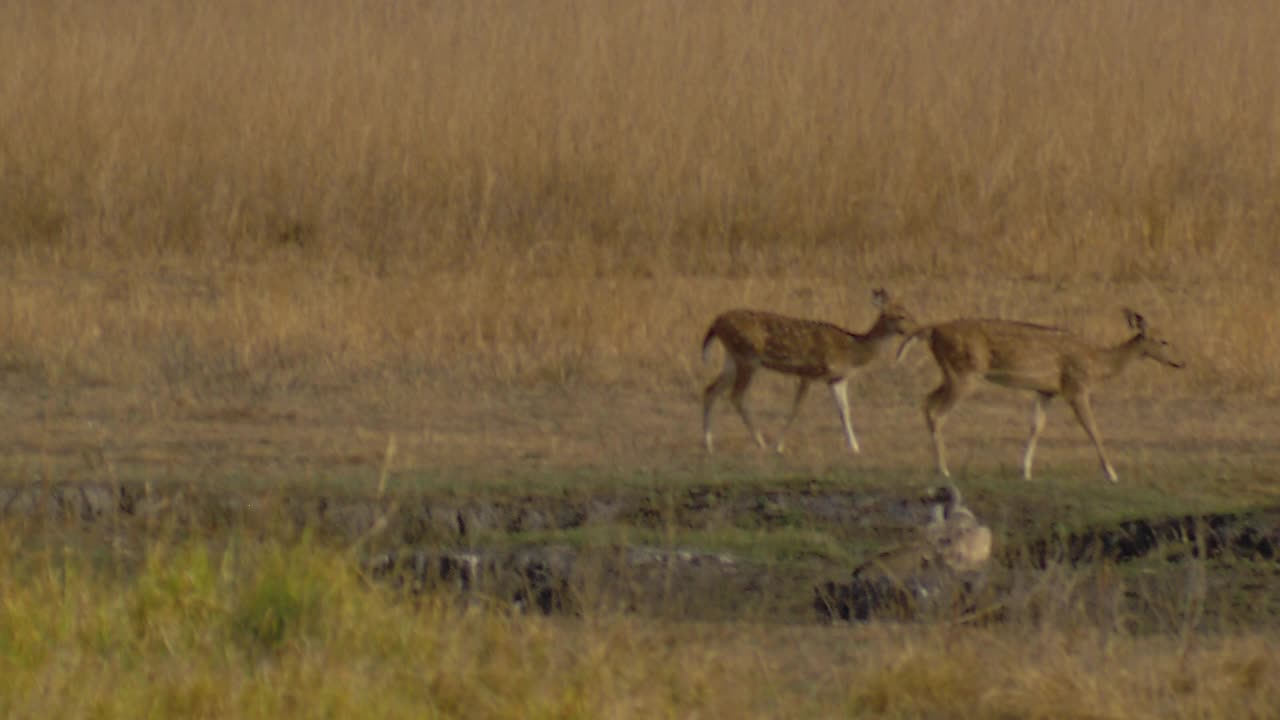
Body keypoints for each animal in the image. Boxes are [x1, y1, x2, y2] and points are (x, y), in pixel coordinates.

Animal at [701, 286, 921, 450]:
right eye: (900, 316)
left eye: (909, 312)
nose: (916, 328)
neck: (852, 350)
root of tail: (716, 322)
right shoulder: (808, 371)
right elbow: (796, 409)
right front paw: (779, 445)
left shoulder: (836, 378)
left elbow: (844, 411)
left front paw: (855, 447)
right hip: (747, 357)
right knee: (736, 395)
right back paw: (760, 442)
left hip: (732, 359)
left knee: (710, 390)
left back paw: (708, 443)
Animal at [896, 304, 1182, 479]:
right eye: (1163, 340)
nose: (1180, 363)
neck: (1098, 362)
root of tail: (932, 330)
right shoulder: (1076, 387)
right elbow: (1093, 429)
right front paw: (1111, 474)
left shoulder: (1046, 391)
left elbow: (1036, 426)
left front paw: (1025, 471)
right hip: (965, 373)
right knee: (937, 411)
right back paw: (944, 470)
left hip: (952, 372)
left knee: (926, 402)